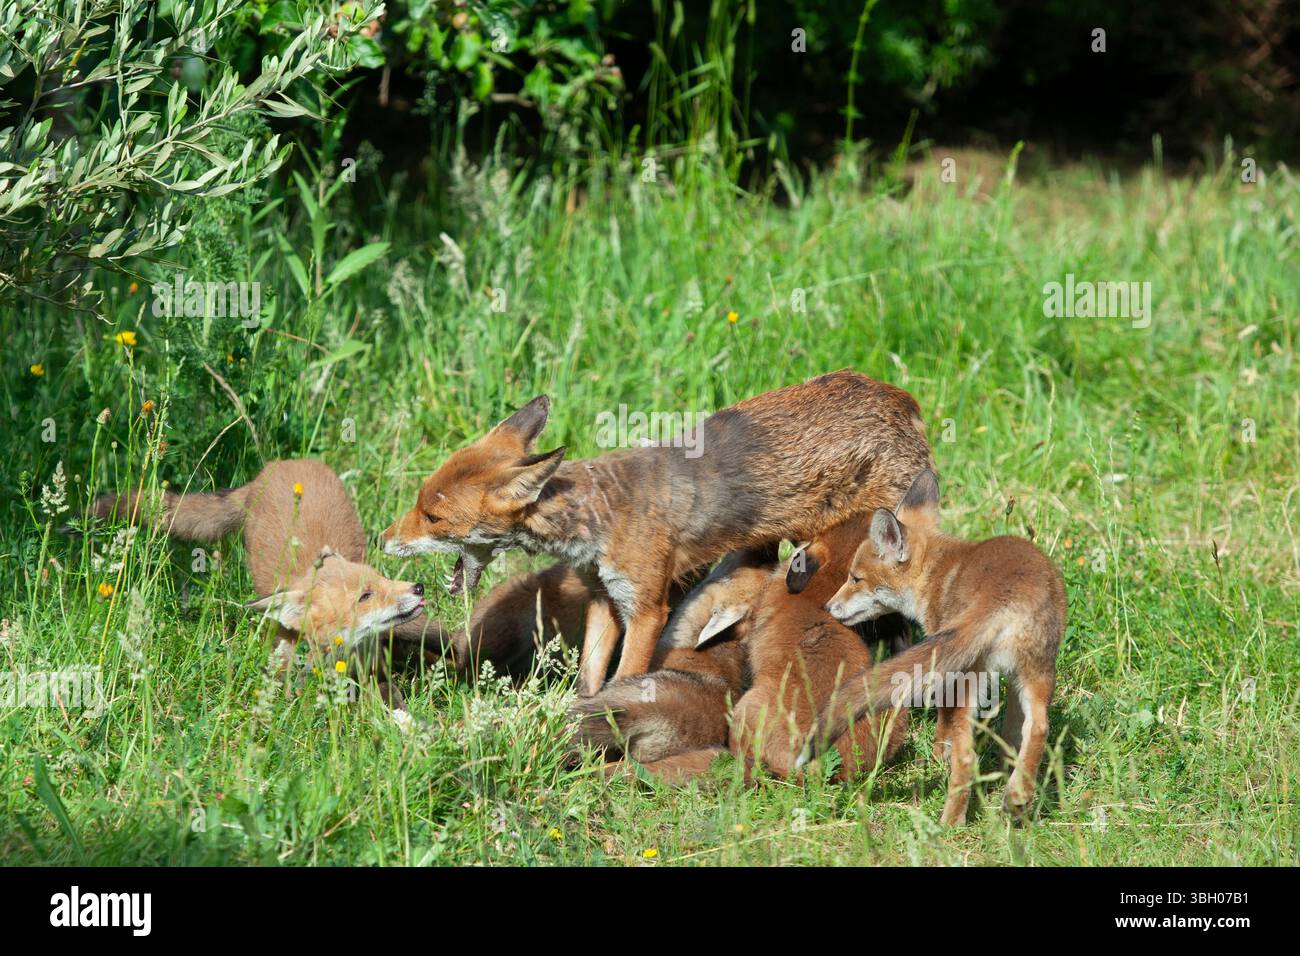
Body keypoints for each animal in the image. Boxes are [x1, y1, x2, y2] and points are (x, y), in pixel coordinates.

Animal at [89, 460, 431, 706]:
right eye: (365, 596)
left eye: (381, 578)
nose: (418, 588)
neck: (330, 655)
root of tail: (278, 465)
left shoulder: (372, 664)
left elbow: (392, 701)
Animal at [381, 370, 933, 696]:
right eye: (419, 503)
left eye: (432, 517)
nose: (384, 541)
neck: (598, 517)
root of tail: (899, 396)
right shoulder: (605, 598)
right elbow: (590, 676)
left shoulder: (647, 609)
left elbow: (625, 674)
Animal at [802, 468, 1067, 825]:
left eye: (855, 578)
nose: (829, 608)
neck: (934, 573)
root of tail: (1002, 596)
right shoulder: (1011, 680)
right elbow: (1013, 734)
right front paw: (1005, 774)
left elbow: (943, 731)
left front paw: (939, 757)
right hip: (1037, 672)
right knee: (1038, 728)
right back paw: (1017, 797)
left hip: (969, 680)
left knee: (967, 758)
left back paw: (950, 823)